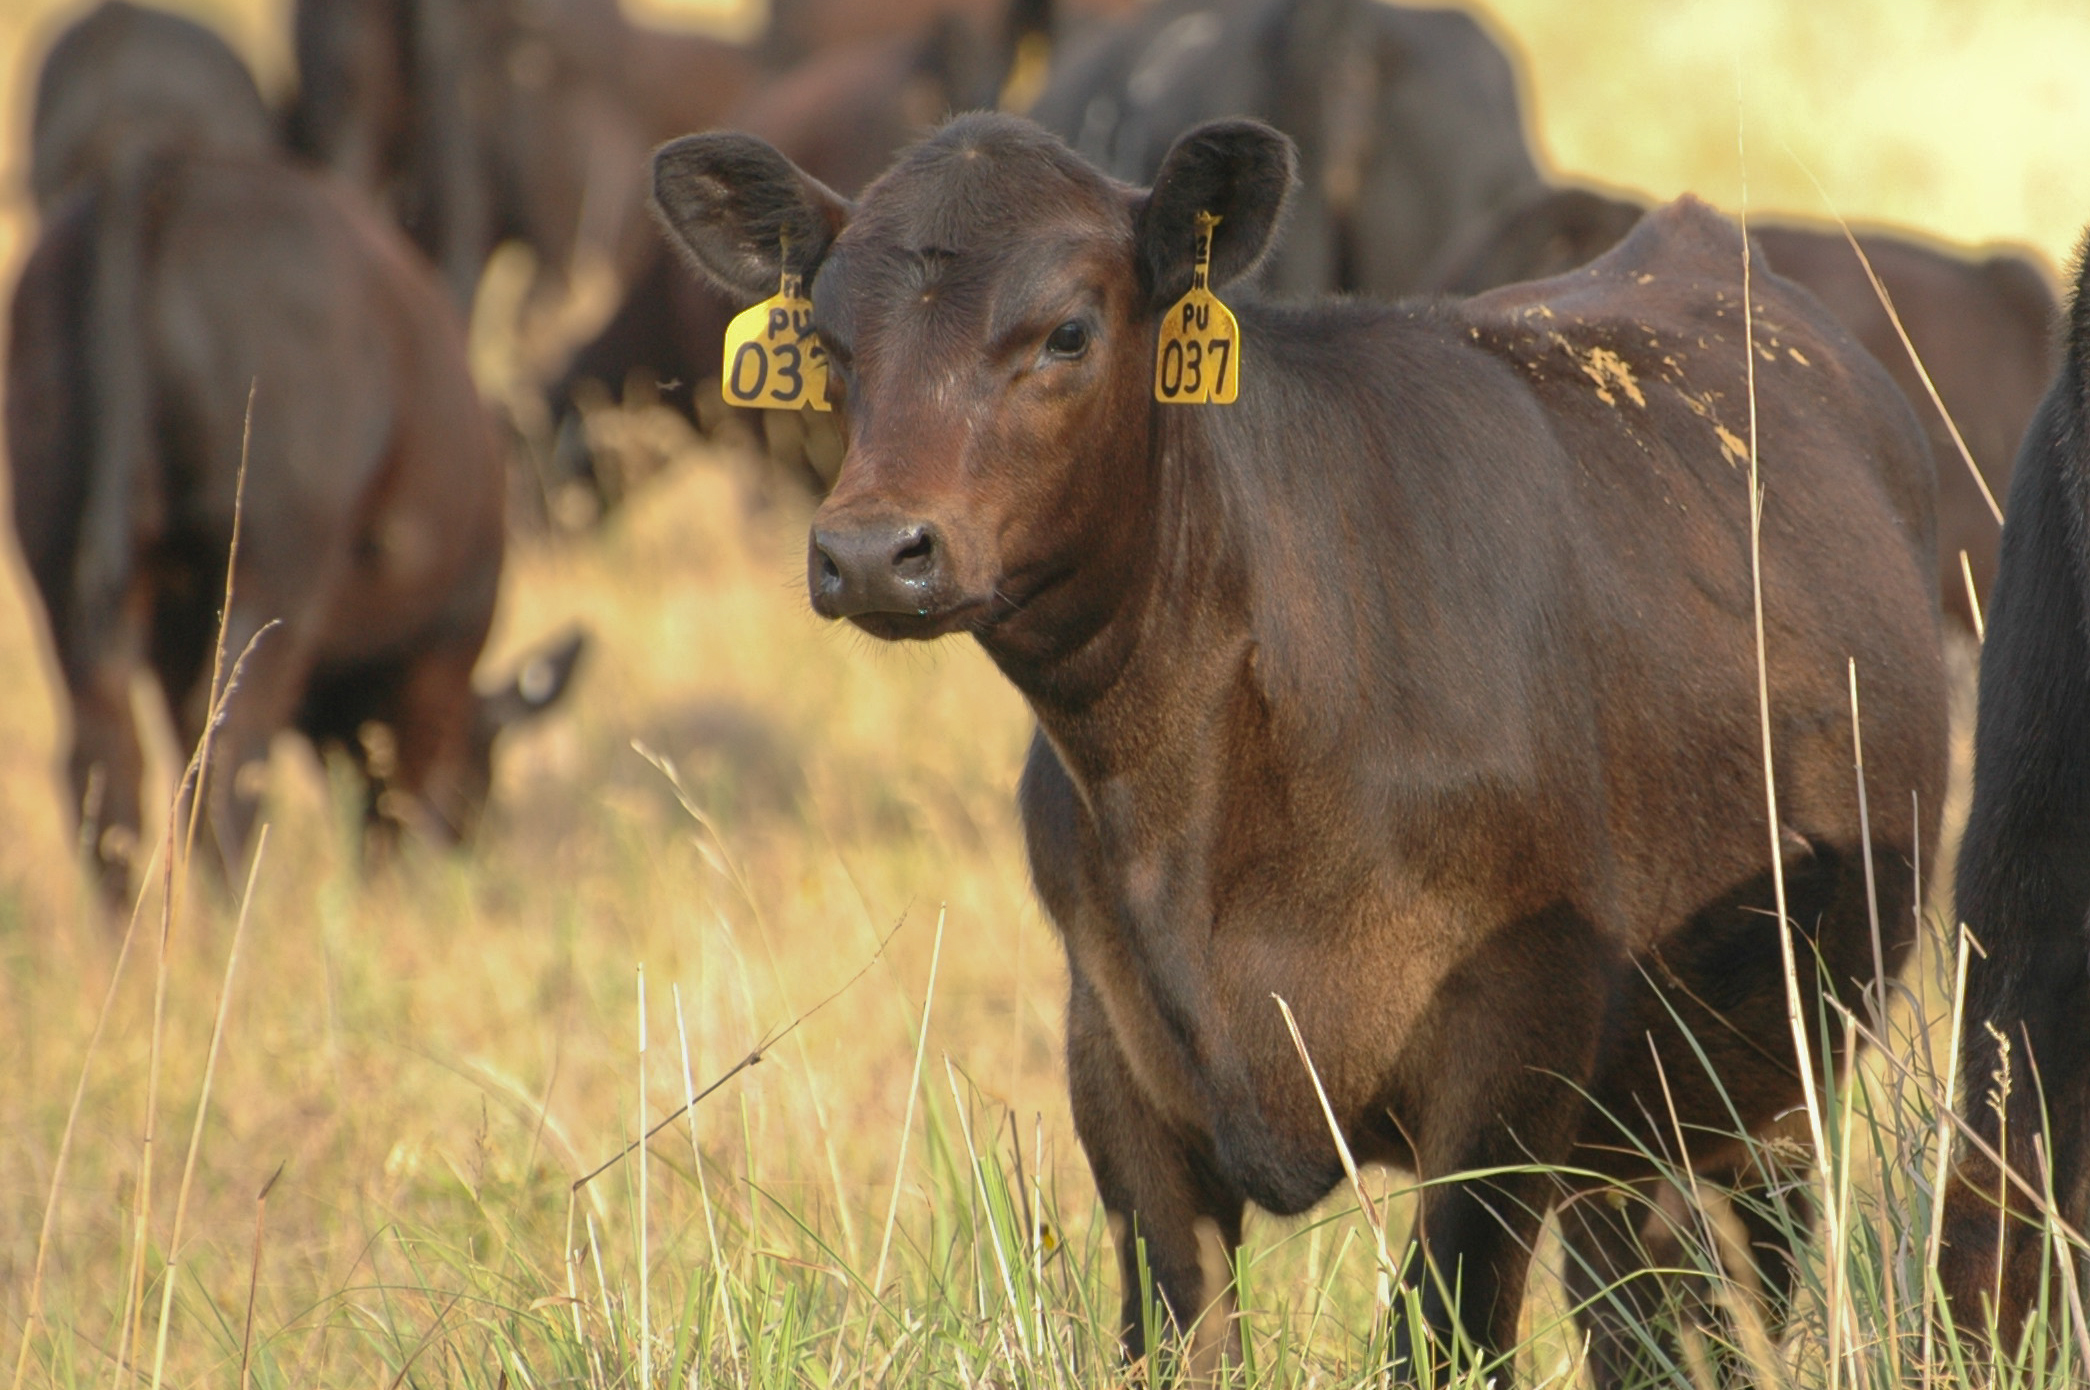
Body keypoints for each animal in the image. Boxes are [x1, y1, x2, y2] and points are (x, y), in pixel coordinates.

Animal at [6, 147, 582, 903]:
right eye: (484, 769)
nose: (469, 849)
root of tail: (159, 176)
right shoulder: (445, 643)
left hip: (67, 573)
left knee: (106, 761)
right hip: (274, 572)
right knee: (230, 753)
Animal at [650, 114, 1948, 1382]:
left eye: (1067, 331)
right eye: (827, 343)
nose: (872, 551)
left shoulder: (1511, 1063)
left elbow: (1442, 1337)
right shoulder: (1114, 1067)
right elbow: (1182, 1337)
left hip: (1766, 1085)